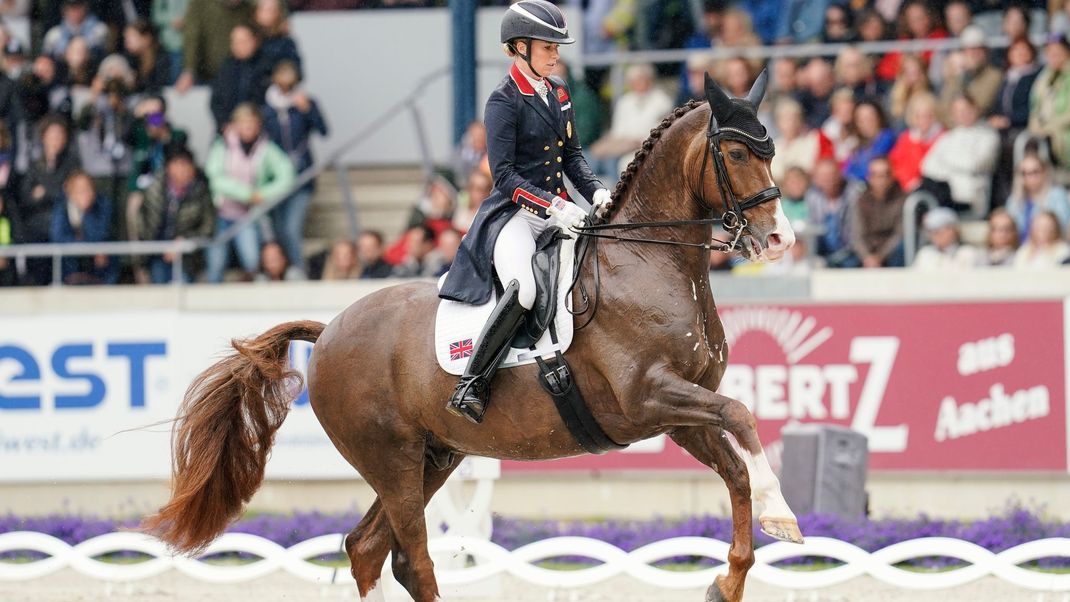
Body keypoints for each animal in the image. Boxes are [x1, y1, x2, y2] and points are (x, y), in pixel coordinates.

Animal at [146, 74, 804, 602]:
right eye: (737, 152)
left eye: (771, 149)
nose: (781, 239)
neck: (647, 259)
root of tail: (329, 329)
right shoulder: (648, 396)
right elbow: (743, 415)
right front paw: (784, 515)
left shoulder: (677, 412)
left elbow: (736, 466)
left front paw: (730, 579)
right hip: (392, 460)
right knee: (411, 557)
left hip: (434, 456)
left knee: (368, 548)